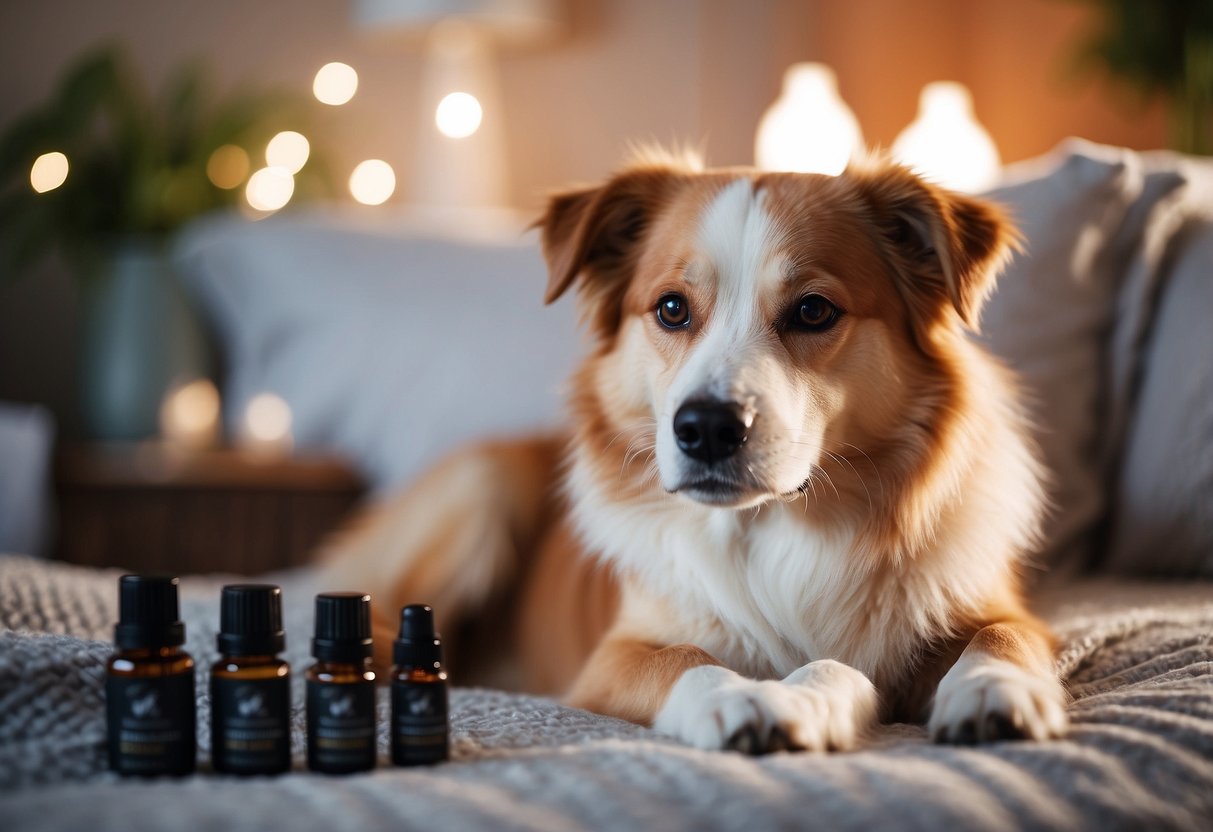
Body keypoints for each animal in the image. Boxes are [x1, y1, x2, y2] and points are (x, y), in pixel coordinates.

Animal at [317, 151, 1067, 756]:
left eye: (813, 311)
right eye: (672, 309)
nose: (705, 428)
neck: (774, 530)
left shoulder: (1003, 609)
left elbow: (1000, 638)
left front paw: (994, 689)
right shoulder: (609, 662)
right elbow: (682, 659)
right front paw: (743, 697)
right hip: (481, 483)